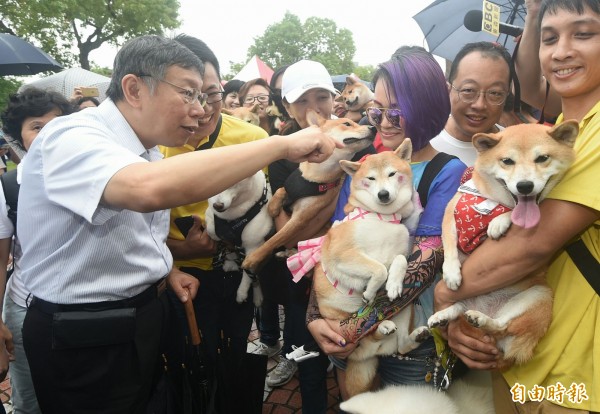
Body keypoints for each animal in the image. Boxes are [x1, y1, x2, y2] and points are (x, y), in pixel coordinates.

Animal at [205, 169, 274, 308]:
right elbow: (211, 229)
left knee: (255, 277)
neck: (232, 216)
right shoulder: (210, 215)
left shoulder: (252, 246)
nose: (218, 205)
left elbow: (247, 272)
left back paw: (257, 296)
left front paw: (242, 292)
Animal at [240, 110, 376, 274]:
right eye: (347, 123)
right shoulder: (290, 189)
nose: (374, 128)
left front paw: (254, 258)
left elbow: (276, 239)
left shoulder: (300, 218)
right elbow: (281, 189)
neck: (313, 178)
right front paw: (272, 207)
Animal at [312, 140, 428, 398]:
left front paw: (393, 284)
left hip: (405, 307)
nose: (383, 194)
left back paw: (411, 333)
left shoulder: (403, 252)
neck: (382, 219)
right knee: (365, 334)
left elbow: (399, 261)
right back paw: (382, 324)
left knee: (401, 346)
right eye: (371, 179)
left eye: (392, 174)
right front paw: (371, 291)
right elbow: (378, 269)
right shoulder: (344, 254)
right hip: (342, 321)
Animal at [428, 119, 580, 368]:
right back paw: (443, 316)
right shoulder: (451, 211)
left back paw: (481, 319)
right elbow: (449, 245)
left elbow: (511, 215)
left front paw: (499, 222)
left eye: (542, 158)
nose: (525, 185)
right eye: (507, 161)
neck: (491, 202)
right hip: (471, 300)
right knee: (461, 308)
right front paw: (451, 273)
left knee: (502, 326)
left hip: (538, 295)